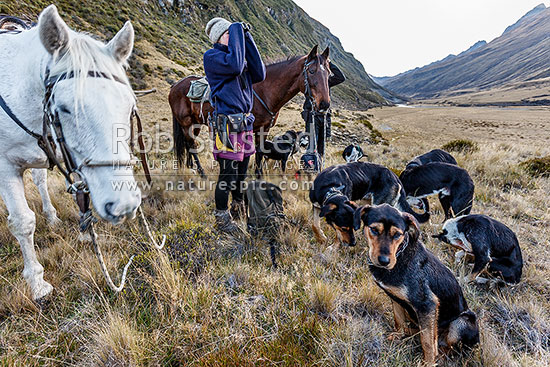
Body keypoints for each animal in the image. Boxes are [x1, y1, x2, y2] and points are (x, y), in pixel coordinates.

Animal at [0, 4, 142, 300]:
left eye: (128, 106)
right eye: (65, 108)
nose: (123, 206)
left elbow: (79, 193)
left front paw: (86, 232)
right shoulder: (4, 166)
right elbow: (22, 222)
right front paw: (37, 284)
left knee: (40, 181)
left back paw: (52, 216)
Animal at [170, 45, 330, 178]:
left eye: (329, 73)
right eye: (312, 71)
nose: (324, 104)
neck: (264, 91)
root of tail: (175, 86)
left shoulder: (264, 128)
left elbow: (260, 151)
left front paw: (259, 174)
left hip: (195, 124)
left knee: (188, 144)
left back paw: (190, 167)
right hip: (186, 123)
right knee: (191, 145)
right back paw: (201, 172)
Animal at [356, 204, 480, 366]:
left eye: (397, 235)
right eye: (374, 230)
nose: (384, 261)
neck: (400, 255)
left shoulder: (427, 304)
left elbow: (427, 342)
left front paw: (428, 363)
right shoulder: (395, 298)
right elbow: (399, 320)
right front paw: (399, 336)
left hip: (462, 322)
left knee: (449, 347)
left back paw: (440, 356)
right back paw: (410, 333)